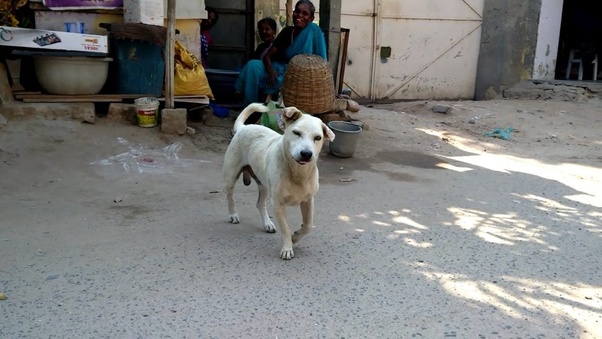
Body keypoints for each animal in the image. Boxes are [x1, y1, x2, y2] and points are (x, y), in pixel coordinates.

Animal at [221, 103, 332, 260]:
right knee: (230, 197)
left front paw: (295, 237)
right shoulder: (278, 205)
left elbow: (308, 225)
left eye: (318, 137)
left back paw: (267, 224)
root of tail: (244, 127)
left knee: (260, 204)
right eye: (296, 133)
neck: (297, 173)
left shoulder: (308, 200)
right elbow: (285, 228)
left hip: (264, 185)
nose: (306, 154)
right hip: (231, 176)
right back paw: (233, 215)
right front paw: (287, 247)